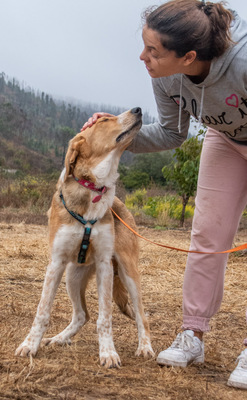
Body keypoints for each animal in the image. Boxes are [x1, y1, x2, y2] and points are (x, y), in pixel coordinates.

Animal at [14, 107, 153, 368]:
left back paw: (145, 347)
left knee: (141, 315)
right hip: (72, 275)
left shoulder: (104, 264)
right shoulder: (56, 263)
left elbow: (105, 317)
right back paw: (59, 338)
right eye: (105, 120)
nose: (138, 109)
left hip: (128, 272)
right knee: (81, 315)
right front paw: (30, 345)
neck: (93, 189)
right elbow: (42, 311)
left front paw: (108, 352)